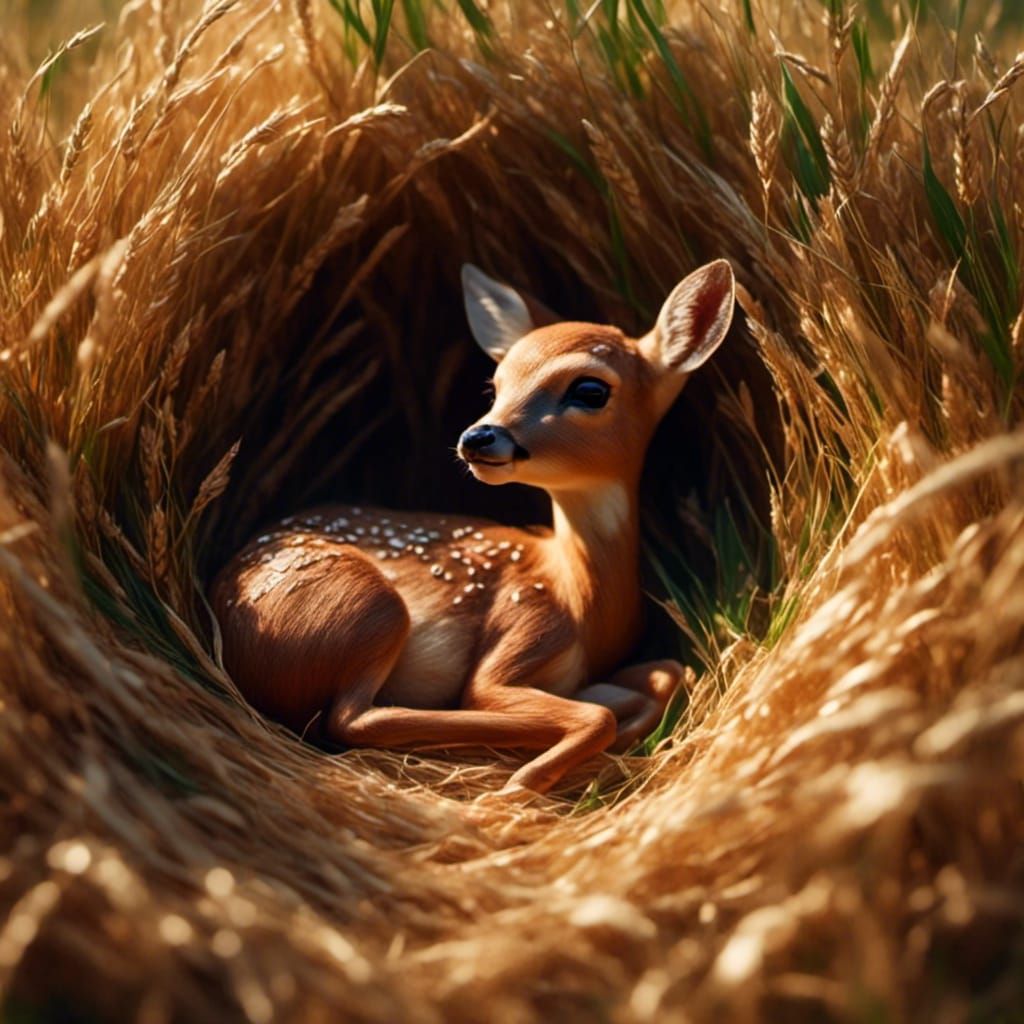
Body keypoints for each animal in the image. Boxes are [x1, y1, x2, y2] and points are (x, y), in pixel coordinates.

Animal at [211, 258, 735, 795]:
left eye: (590, 390)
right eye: (496, 385)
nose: (479, 436)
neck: (578, 596)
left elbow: (669, 672)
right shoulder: (522, 627)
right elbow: (569, 709)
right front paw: (524, 781)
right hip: (370, 608)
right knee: (353, 718)